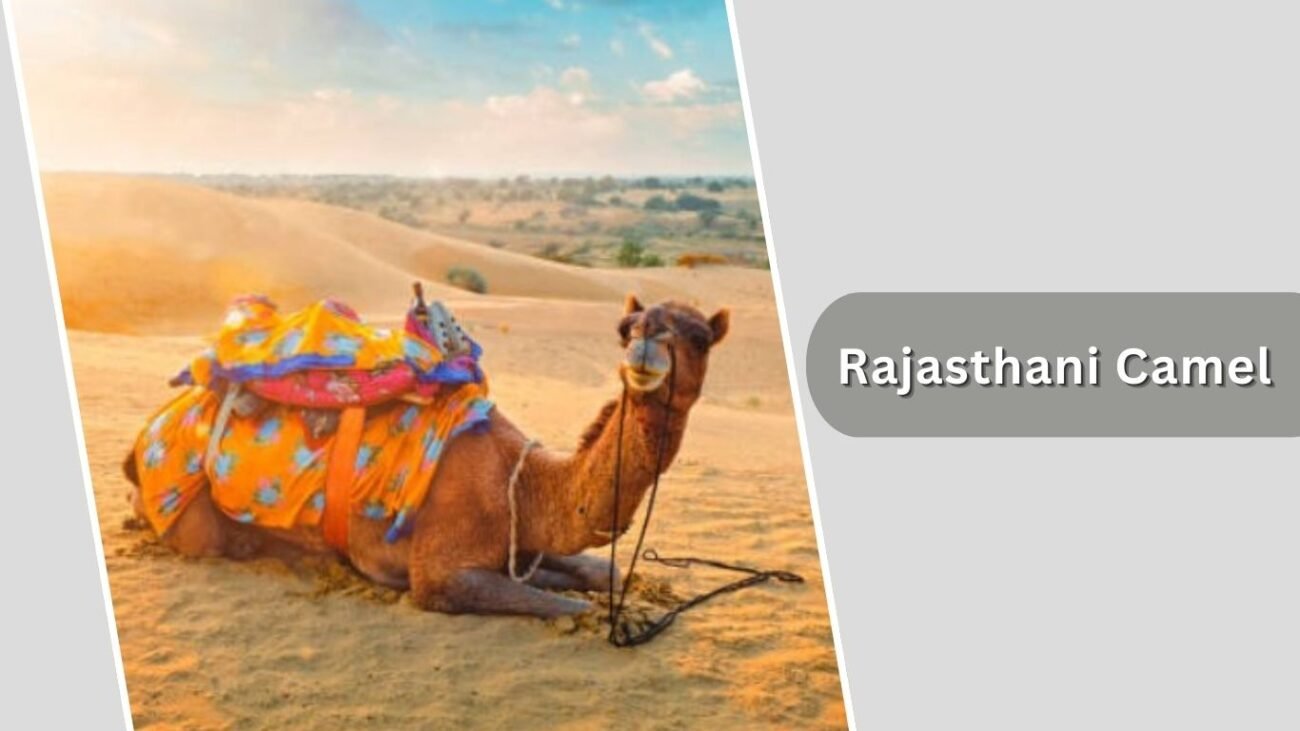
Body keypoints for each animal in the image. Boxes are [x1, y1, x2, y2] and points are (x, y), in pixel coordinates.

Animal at [125, 295, 728, 618]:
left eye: (700, 337)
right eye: (626, 328)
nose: (644, 347)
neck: (522, 482)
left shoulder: (521, 544)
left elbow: (595, 568)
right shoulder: (438, 575)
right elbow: (572, 605)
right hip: (190, 518)